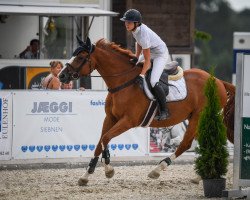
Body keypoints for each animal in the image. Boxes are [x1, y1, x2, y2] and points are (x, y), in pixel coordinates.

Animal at [58, 37, 234, 186]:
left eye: (80, 57)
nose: (61, 76)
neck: (123, 82)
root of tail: (218, 81)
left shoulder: (128, 121)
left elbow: (106, 138)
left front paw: (109, 170)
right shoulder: (110, 118)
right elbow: (100, 142)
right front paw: (86, 175)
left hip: (198, 117)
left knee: (185, 144)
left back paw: (158, 170)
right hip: (197, 119)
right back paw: (200, 176)